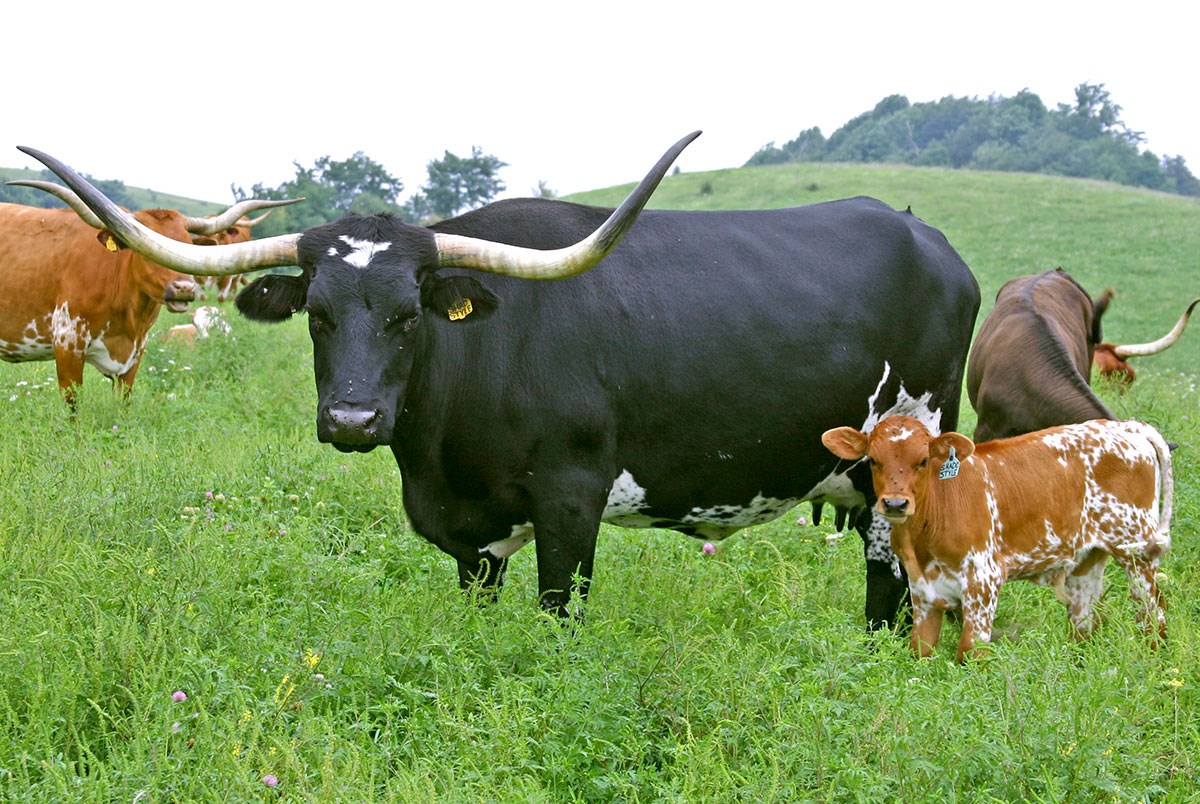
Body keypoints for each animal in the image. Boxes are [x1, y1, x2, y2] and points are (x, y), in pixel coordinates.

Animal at [0, 179, 295, 403]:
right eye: (146, 248)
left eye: (189, 245)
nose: (184, 288)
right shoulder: (68, 343)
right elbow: (72, 406)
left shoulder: (135, 354)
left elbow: (123, 402)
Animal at [822, 415, 1173, 662]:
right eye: (873, 460)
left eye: (922, 461)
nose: (895, 503)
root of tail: (1124, 427)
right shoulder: (923, 592)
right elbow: (919, 650)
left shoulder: (983, 580)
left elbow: (970, 652)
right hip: (1086, 562)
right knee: (1083, 624)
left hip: (1136, 550)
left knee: (1153, 616)